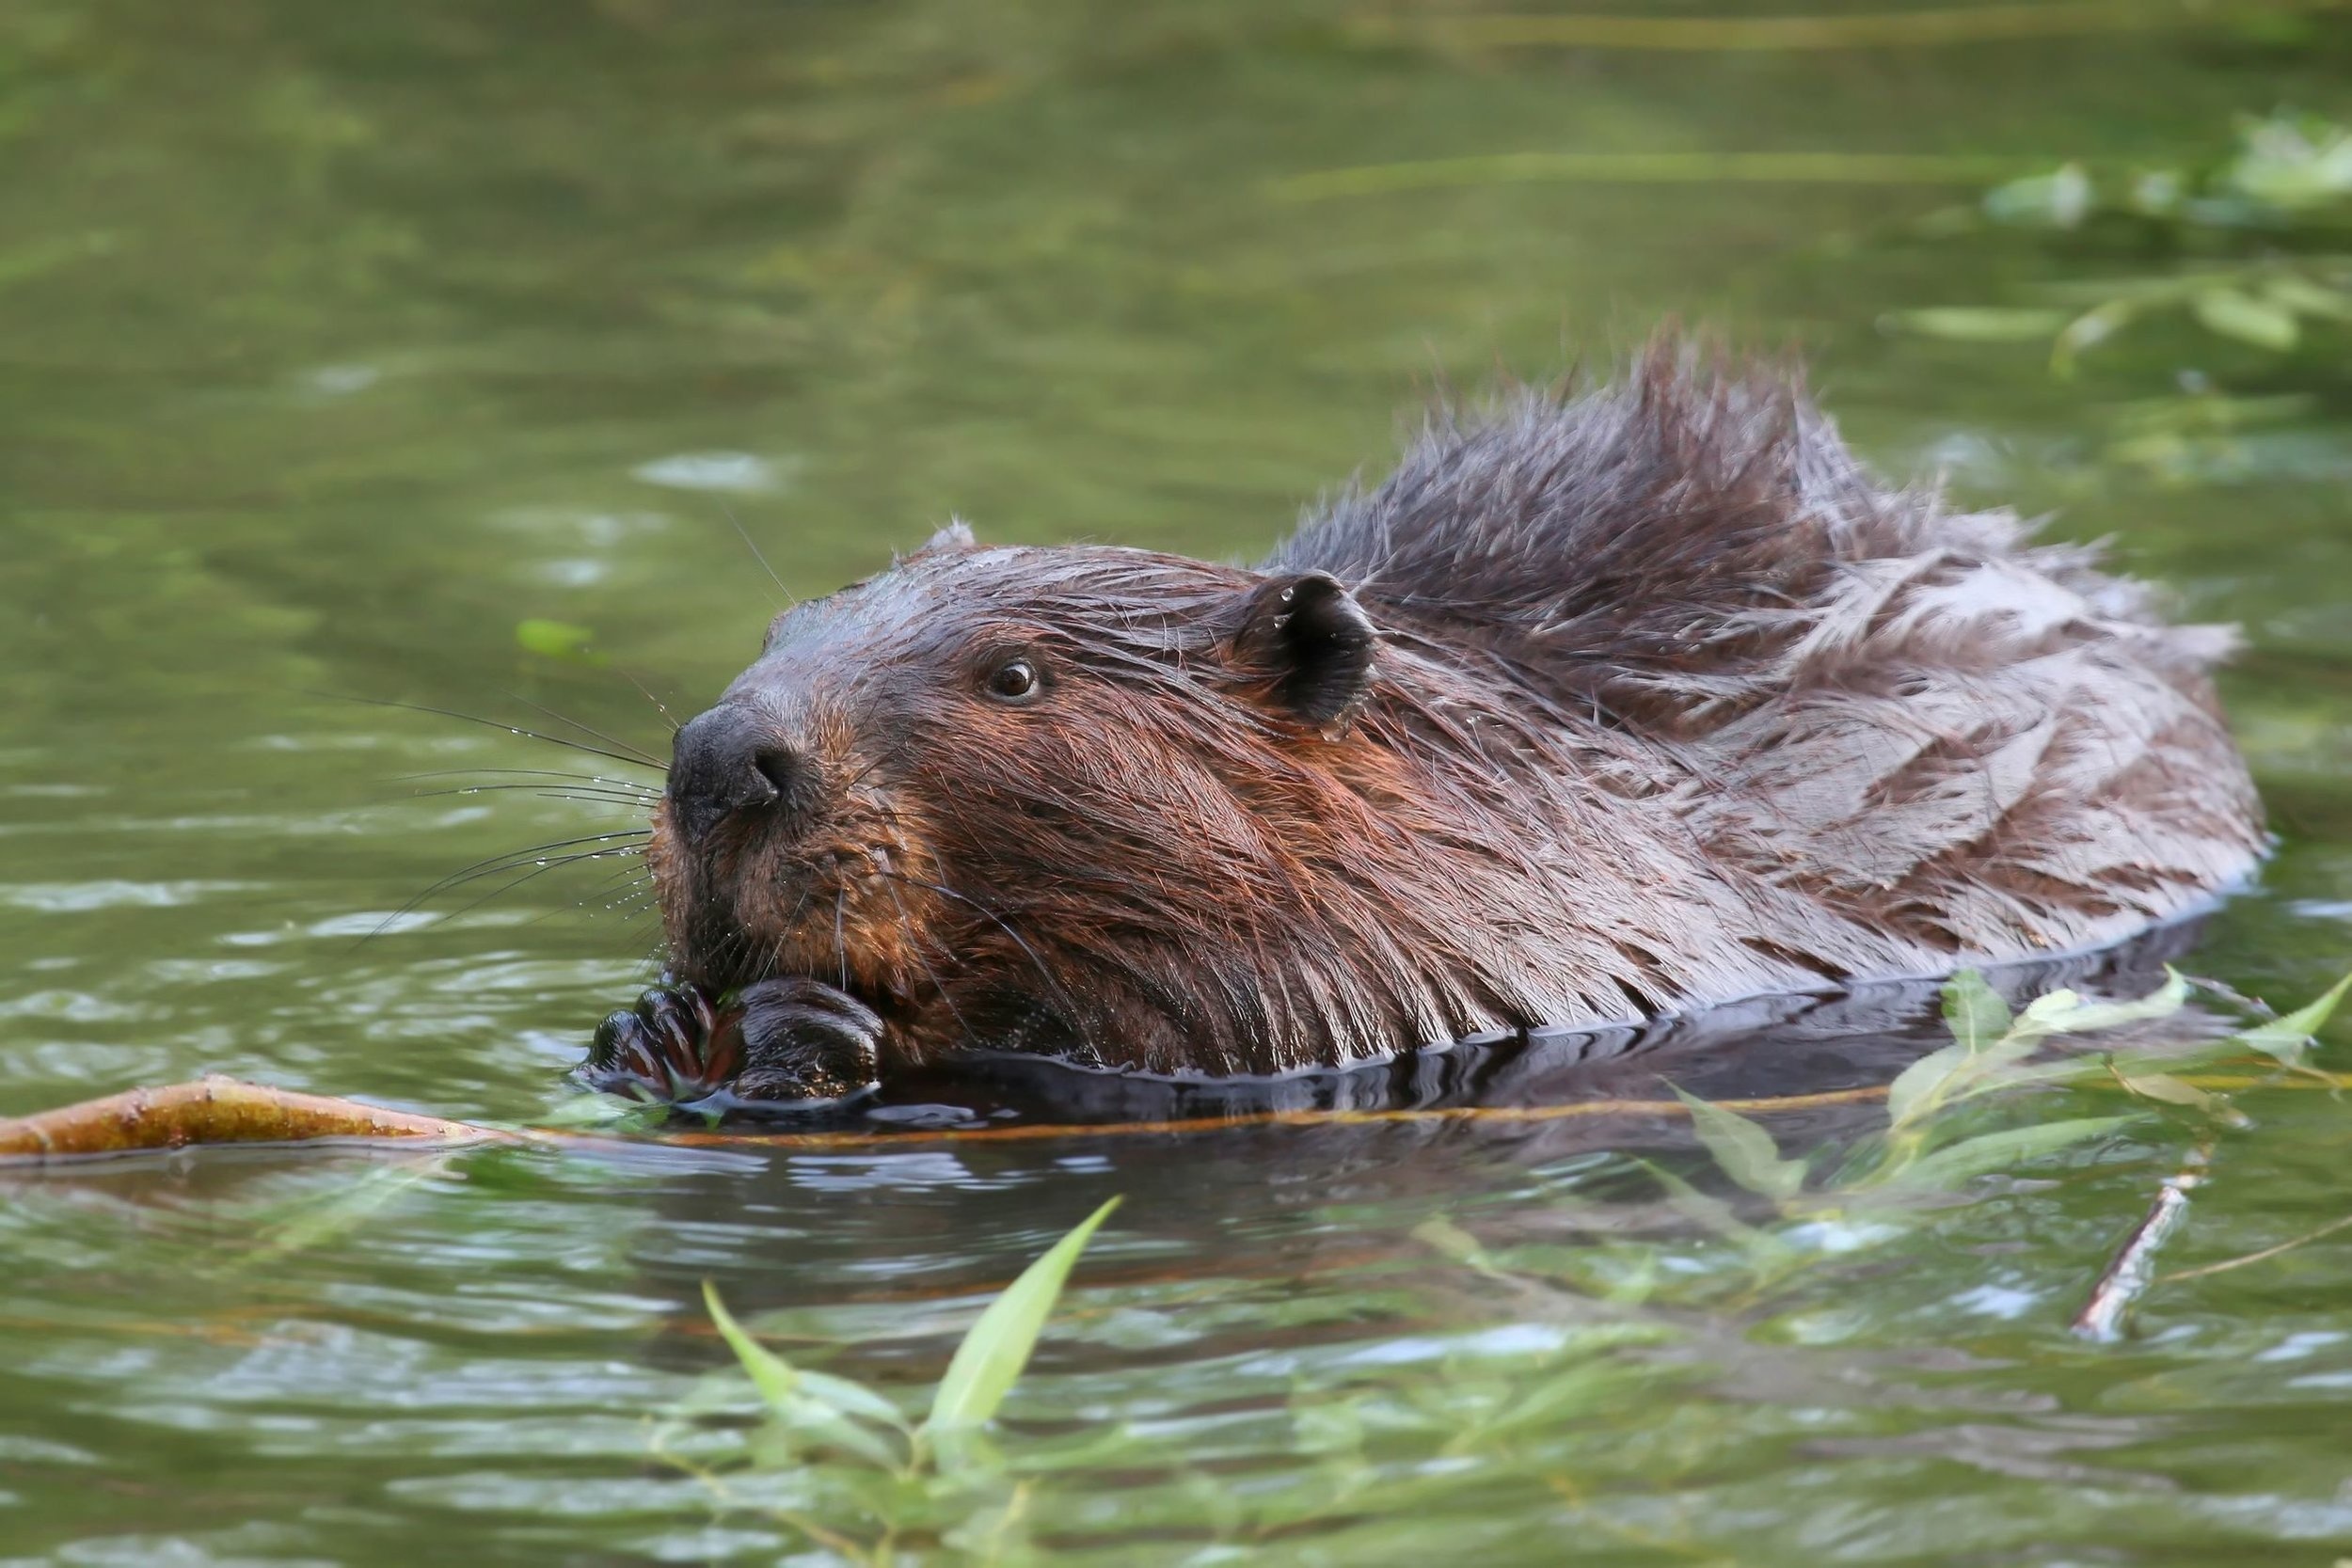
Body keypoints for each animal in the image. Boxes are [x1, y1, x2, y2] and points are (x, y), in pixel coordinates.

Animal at [579, 350, 2267, 1109]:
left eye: (1015, 681)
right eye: (787, 627)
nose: (720, 758)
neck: (1497, 781)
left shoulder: (1466, 937)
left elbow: (1233, 1034)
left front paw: (814, 1028)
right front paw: (651, 1026)